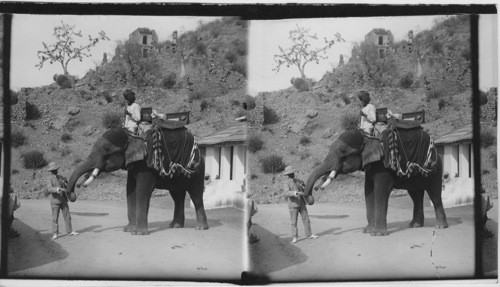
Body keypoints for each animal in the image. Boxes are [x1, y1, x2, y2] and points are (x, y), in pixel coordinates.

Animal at [65, 127, 208, 235]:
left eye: (106, 149)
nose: (76, 189)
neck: (132, 136)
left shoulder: (146, 166)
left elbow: (142, 190)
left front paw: (138, 233)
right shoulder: (134, 165)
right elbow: (130, 190)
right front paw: (128, 230)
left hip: (197, 172)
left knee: (196, 195)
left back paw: (200, 228)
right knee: (177, 196)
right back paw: (175, 226)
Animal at [304, 130, 450, 236]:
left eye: (343, 151)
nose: (311, 197)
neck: (369, 138)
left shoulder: (383, 167)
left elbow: (381, 190)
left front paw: (378, 234)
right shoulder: (371, 167)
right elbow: (368, 191)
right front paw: (367, 231)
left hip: (435, 171)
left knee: (434, 194)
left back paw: (440, 226)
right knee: (416, 196)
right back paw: (414, 225)